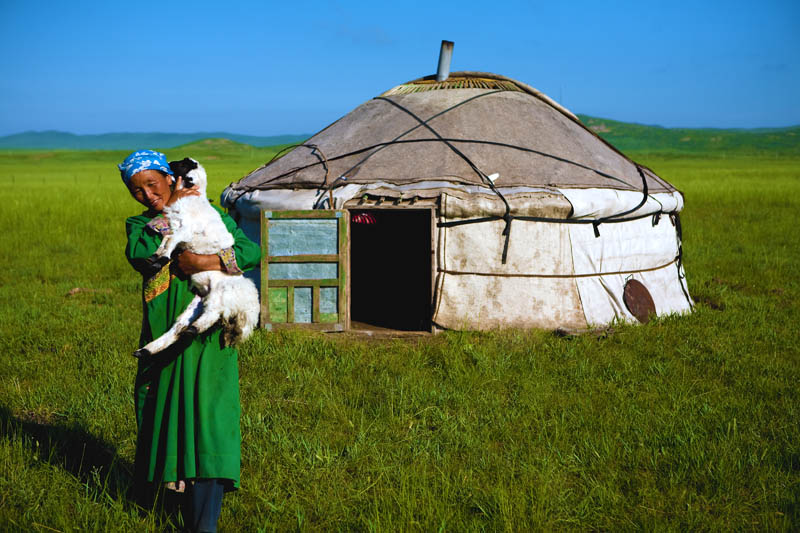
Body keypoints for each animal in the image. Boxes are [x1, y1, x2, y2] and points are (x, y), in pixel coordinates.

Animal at [133, 156, 260, 360]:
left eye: (184, 164)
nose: (168, 162)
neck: (192, 199)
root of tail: (249, 305)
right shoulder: (177, 229)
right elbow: (166, 240)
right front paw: (154, 258)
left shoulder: (186, 230)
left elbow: (170, 241)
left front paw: (161, 259)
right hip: (197, 303)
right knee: (177, 328)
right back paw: (145, 350)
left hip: (220, 294)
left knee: (210, 315)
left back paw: (190, 331)